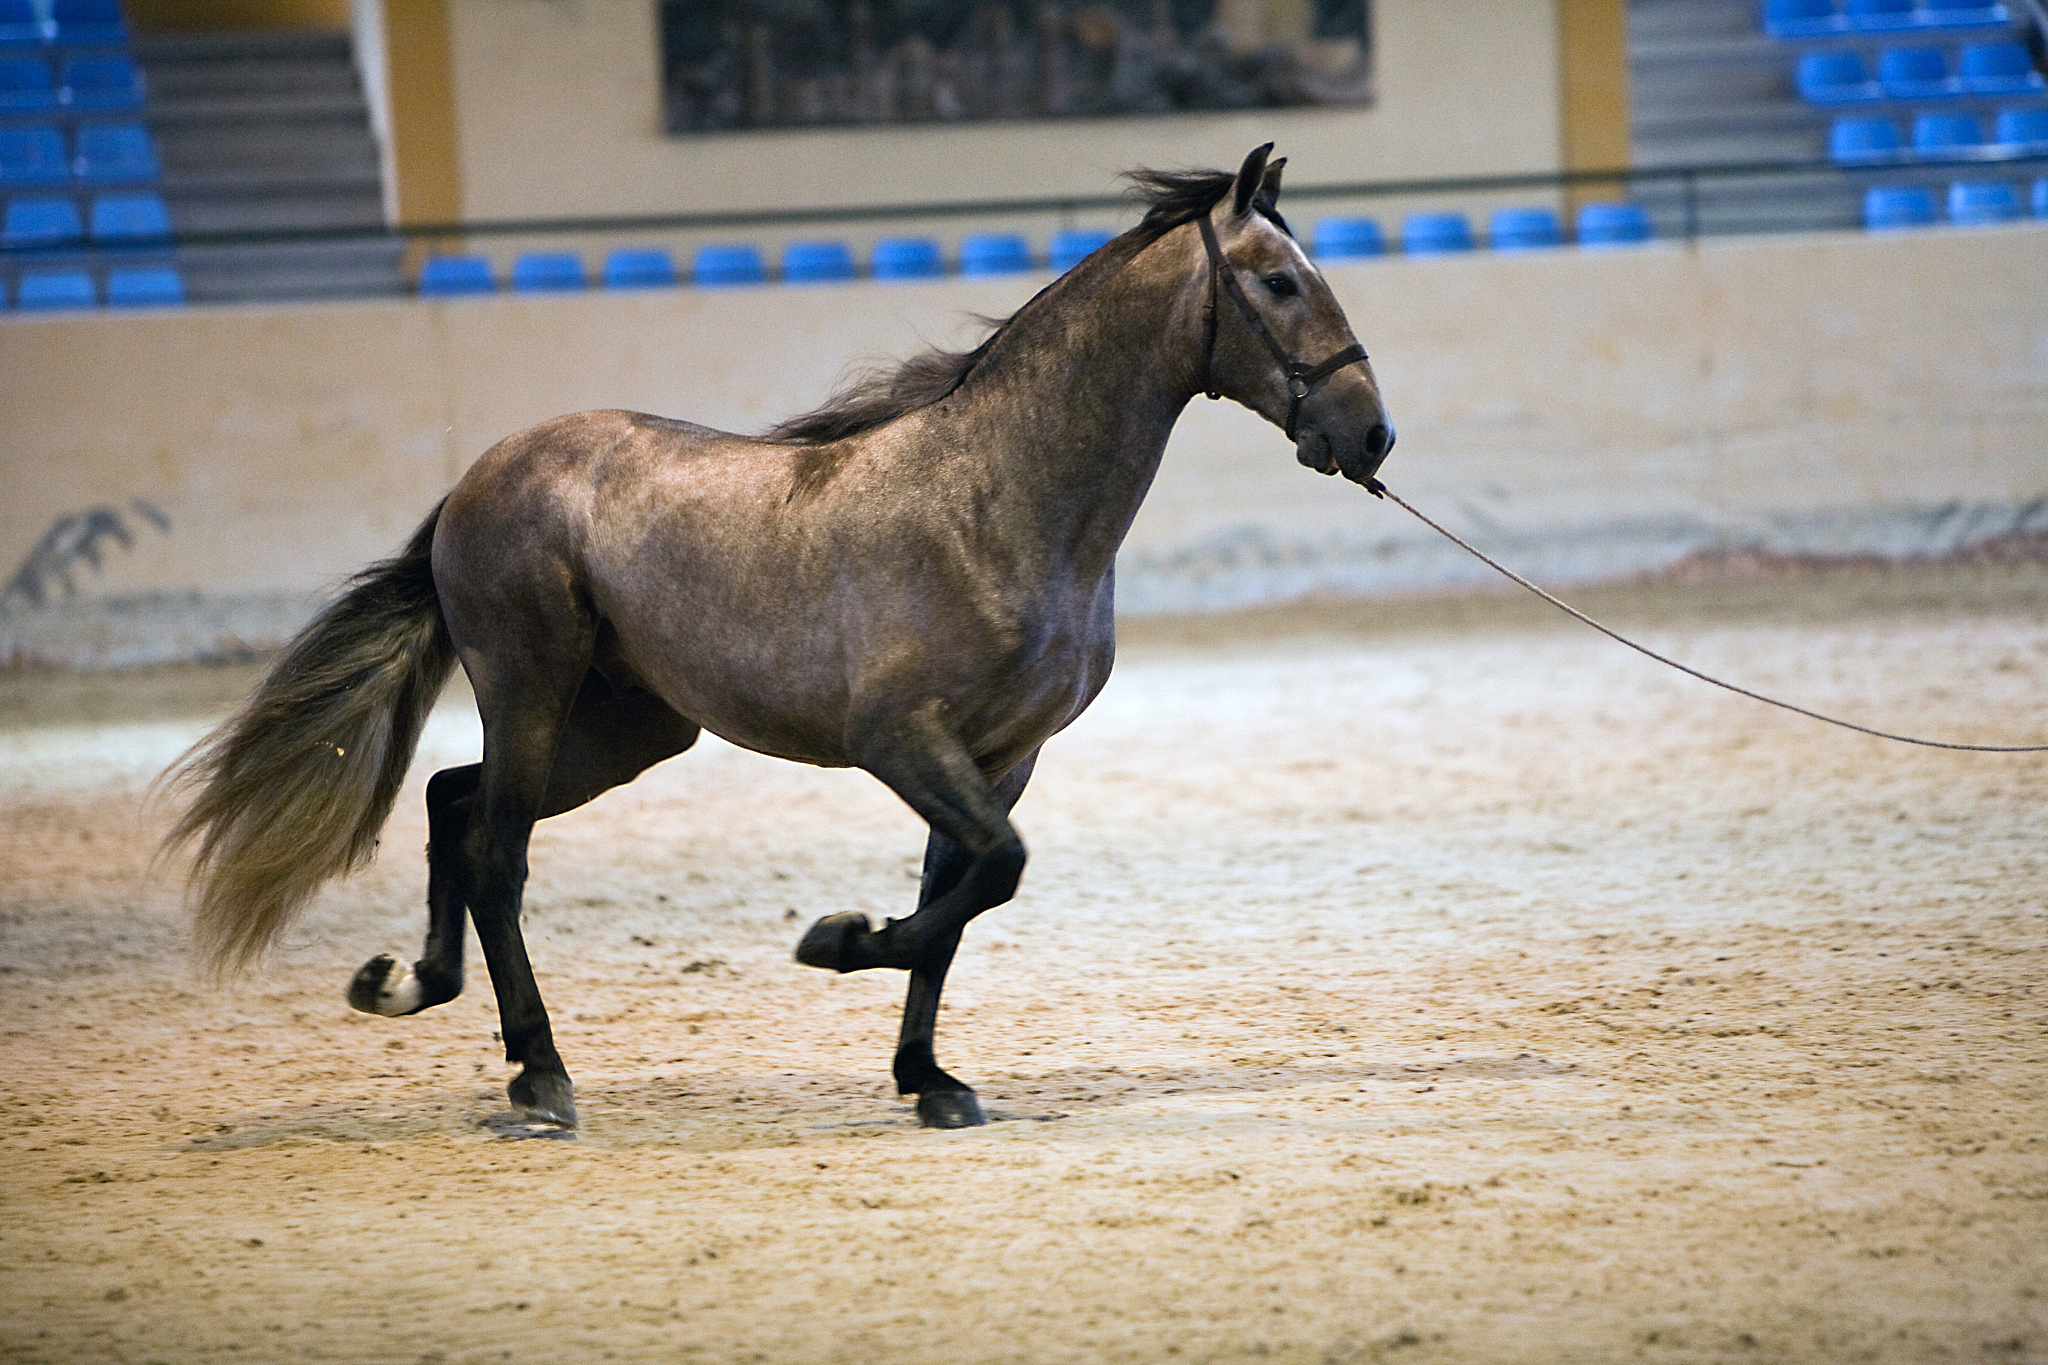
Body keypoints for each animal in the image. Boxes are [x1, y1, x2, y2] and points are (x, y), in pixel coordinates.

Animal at [162, 144, 1395, 1131]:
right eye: (1279, 281)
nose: (1371, 434)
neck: (998, 500)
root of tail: (481, 478)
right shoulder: (899, 739)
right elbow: (989, 872)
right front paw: (836, 938)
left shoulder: (1001, 756)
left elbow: (962, 898)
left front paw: (929, 1079)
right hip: (531, 688)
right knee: (497, 853)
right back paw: (540, 1077)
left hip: (626, 731)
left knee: (452, 805)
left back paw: (419, 989)